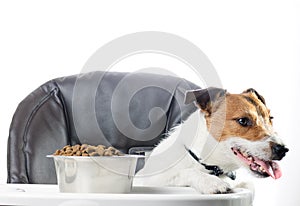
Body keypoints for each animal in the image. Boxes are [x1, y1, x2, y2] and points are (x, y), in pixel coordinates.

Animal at [134, 87, 288, 193]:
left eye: (271, 118)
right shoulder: (148, 180)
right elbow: (181, 173)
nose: (283, 149)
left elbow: (248, 185)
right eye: (243, 120)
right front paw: (212, 183)